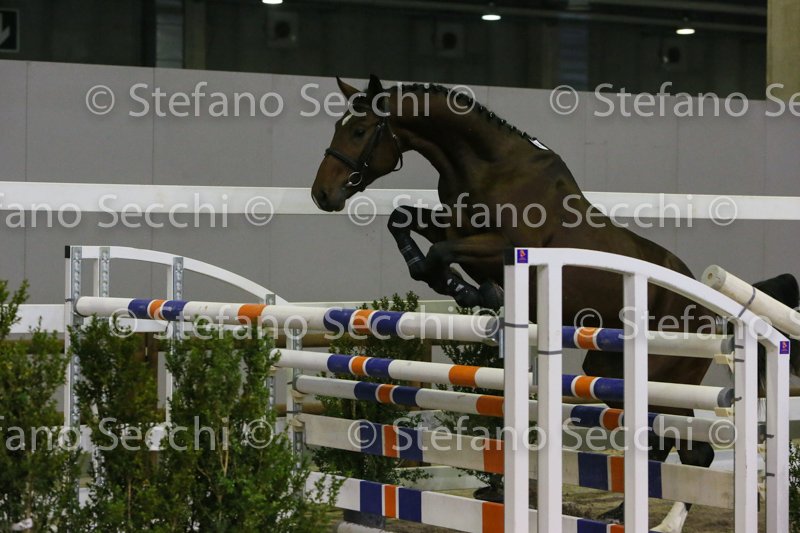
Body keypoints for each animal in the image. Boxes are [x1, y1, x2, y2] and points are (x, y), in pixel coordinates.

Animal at [311, 75, 794, 531]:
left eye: (359, 130)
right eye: (338, 126)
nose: (322, 194)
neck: (486, 165)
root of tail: (709, 307)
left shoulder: (502, 245)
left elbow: (441, 255)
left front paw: (471, 291)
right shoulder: (453, 225)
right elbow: (404, 221)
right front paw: (464, 286)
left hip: (664, 377)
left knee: (693, 453)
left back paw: (665, 523)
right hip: (611, 372)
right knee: (660, 446)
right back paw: (621, 514)